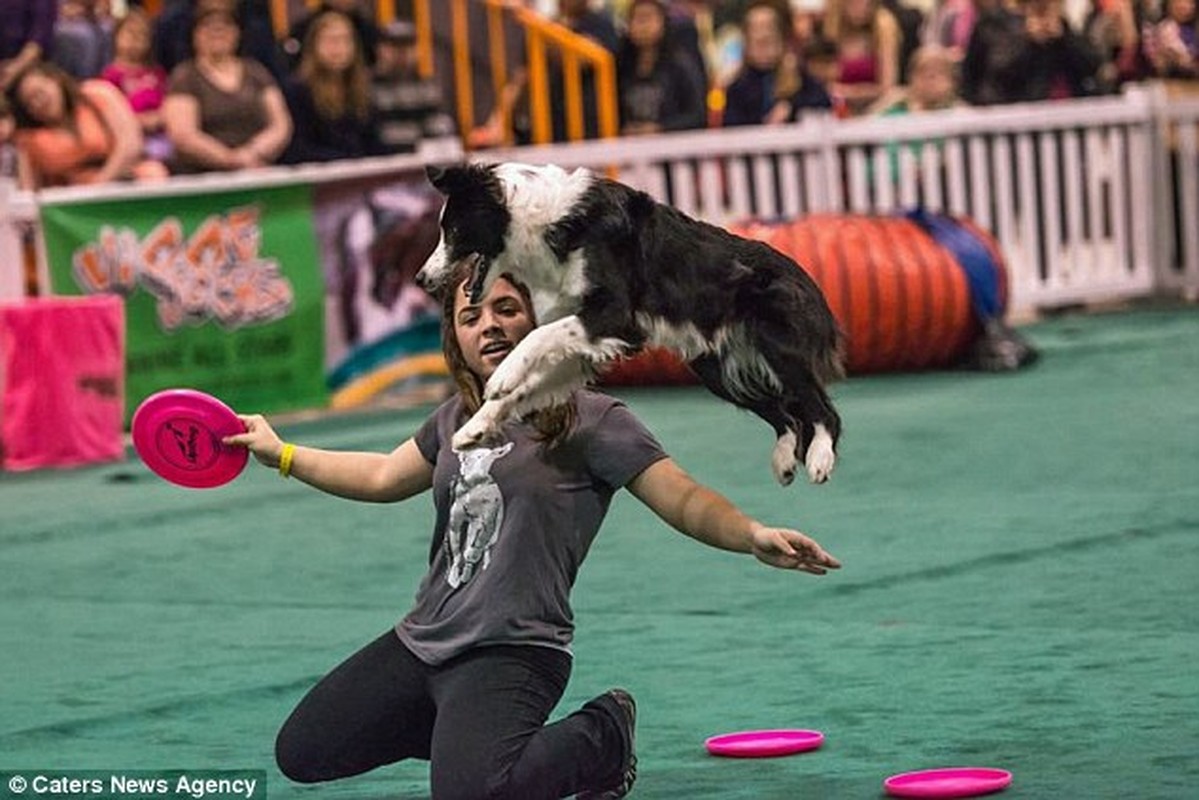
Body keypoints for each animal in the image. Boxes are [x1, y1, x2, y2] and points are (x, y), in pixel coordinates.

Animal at [417, 160, 848, 489]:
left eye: (453, 230)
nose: (421, 279)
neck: (543, 225)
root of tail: (812, 285)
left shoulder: (617, 318)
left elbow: (535, 339)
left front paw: (503, 374)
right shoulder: (583, 340)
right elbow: (529, 385)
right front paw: (475, 428)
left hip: (778, 347)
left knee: (821, 408)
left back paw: (820, 459)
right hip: (715, 370)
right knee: (785, 414)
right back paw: (785, 461)